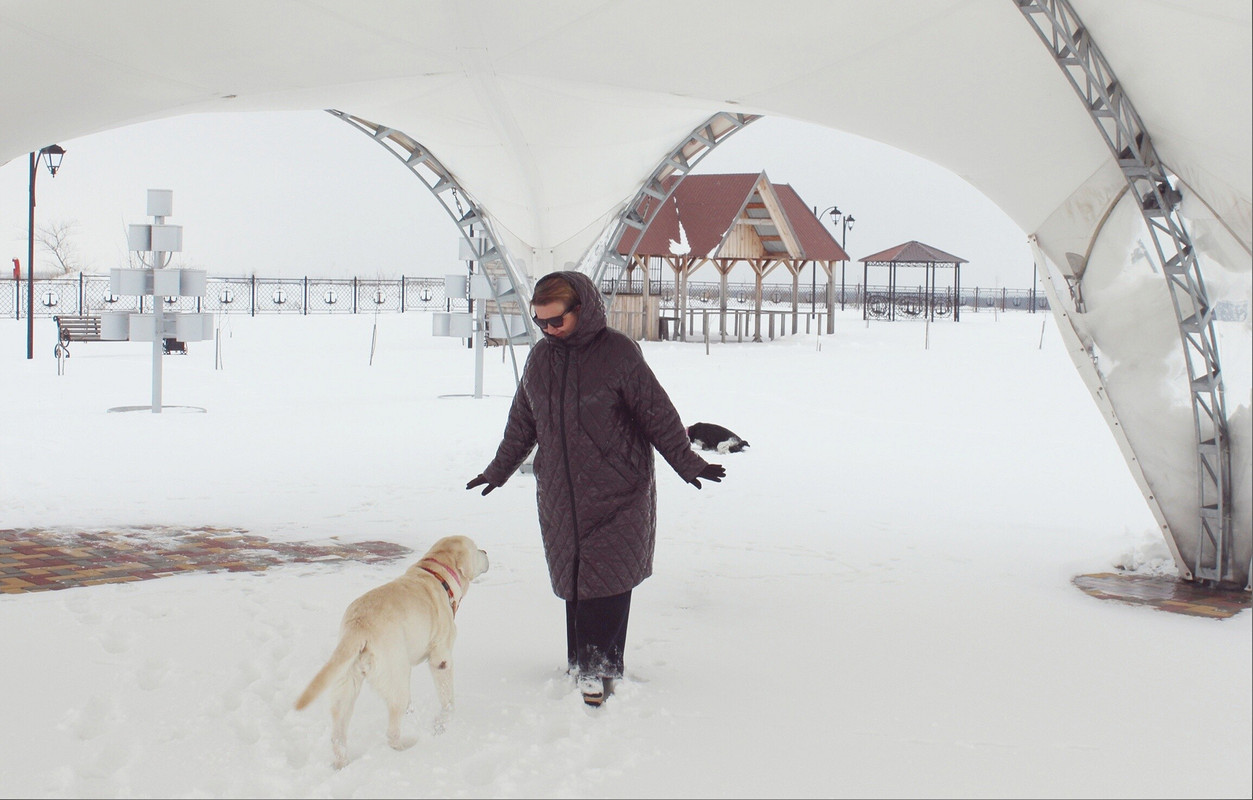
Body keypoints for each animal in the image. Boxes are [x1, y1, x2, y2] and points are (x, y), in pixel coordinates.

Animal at [293, 539, 488, 772]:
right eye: (475, 548)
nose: (486, 551)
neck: (438, 575)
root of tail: (358, 625)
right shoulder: (441, 658)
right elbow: (448, 701)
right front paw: (442, 725)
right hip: (395, 674)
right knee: (392, 733)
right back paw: (406, 747)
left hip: (347, 684)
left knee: (338, 736)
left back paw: (341, 763)